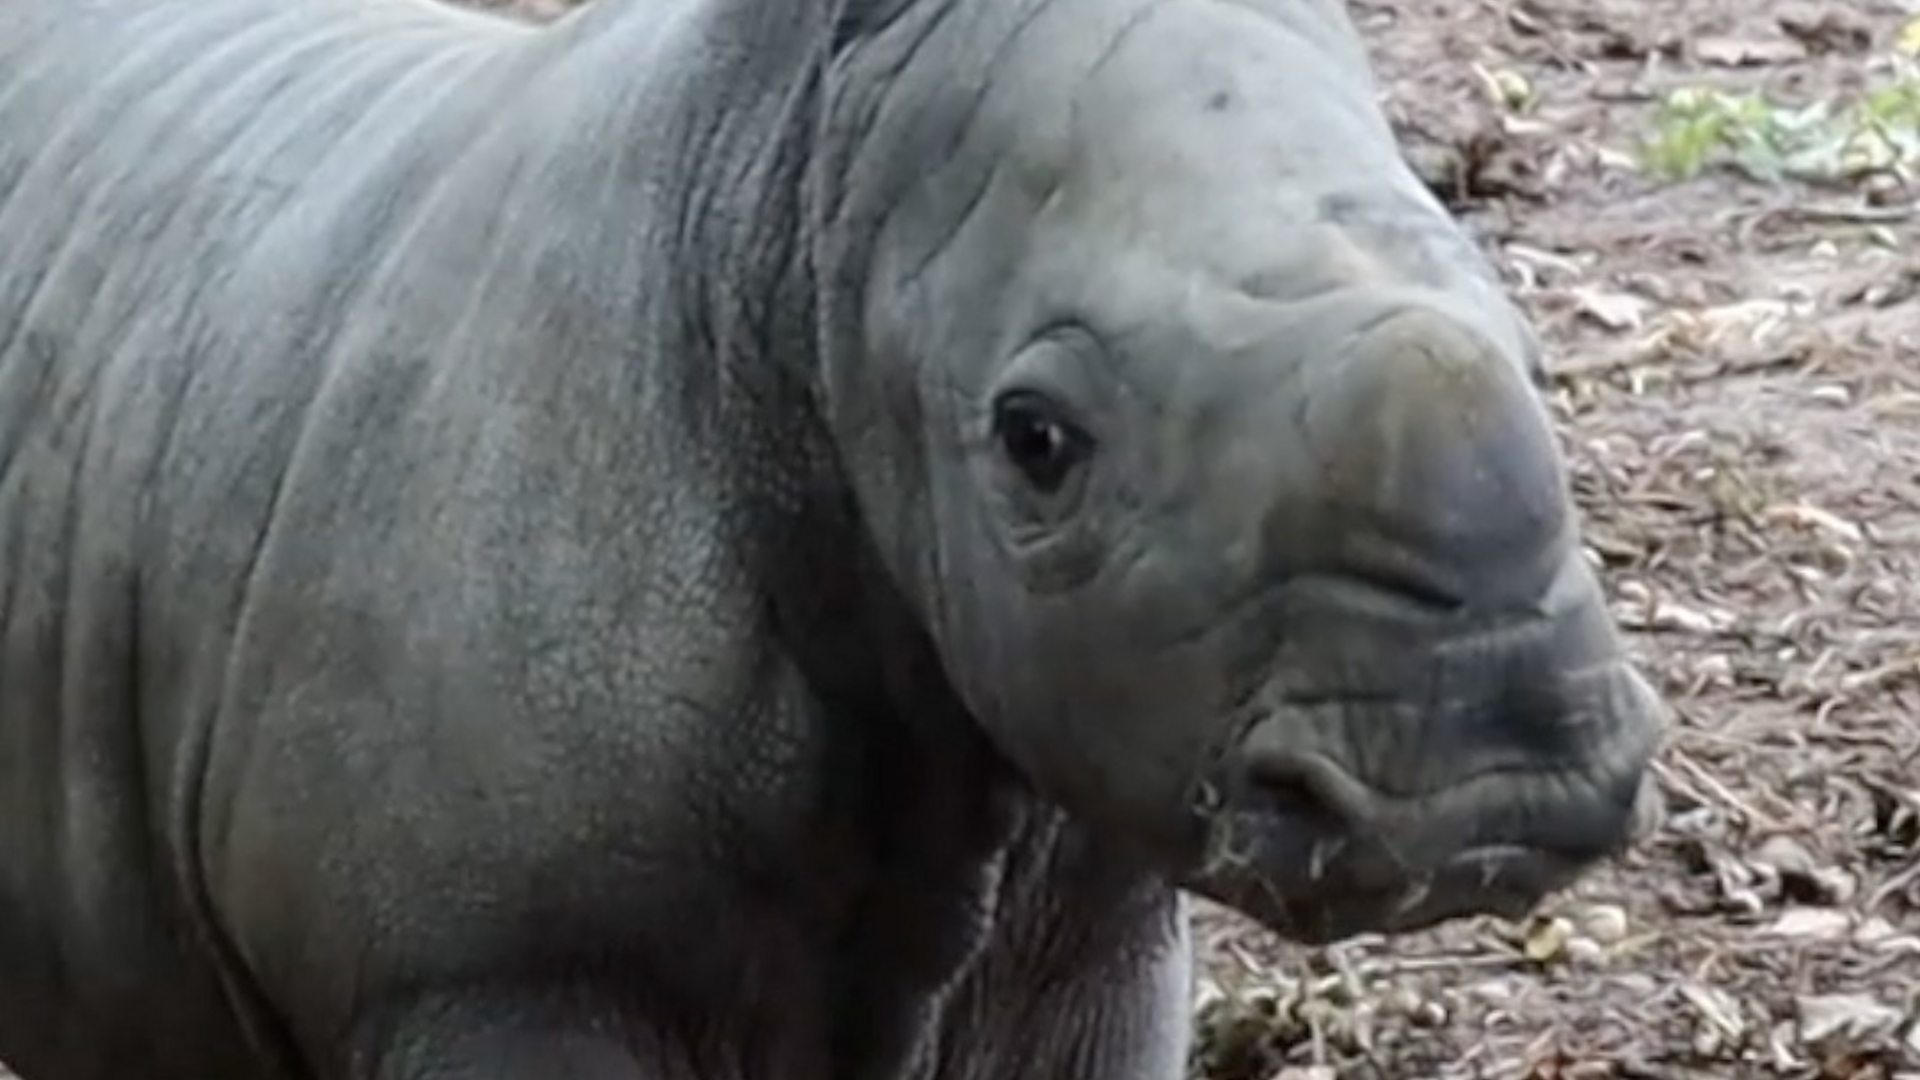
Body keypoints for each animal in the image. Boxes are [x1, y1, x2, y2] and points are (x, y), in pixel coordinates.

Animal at [0, 0, 1664, 1075]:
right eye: (1035, 441)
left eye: (1531, 345)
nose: (1500, 780)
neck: (788, 215)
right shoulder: (492, 965)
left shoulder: (1094, 908)